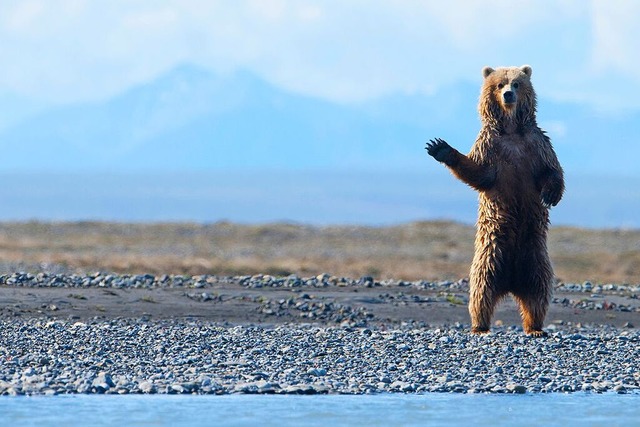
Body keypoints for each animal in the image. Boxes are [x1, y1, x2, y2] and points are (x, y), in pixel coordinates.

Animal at [425, 65, 564, 337]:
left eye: (517, 83)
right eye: (500, 84)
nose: (508, 94)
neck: (511, 131)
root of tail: (511, 282)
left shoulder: (536, 144)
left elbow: (552, 170)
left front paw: (550, 195)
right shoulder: (490, 145)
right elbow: (480, 173)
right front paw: (440, 148)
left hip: (535, 255)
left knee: (539, 291)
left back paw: (535, 327)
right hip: (491, 253)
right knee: (481, 291)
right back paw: (479, 325)